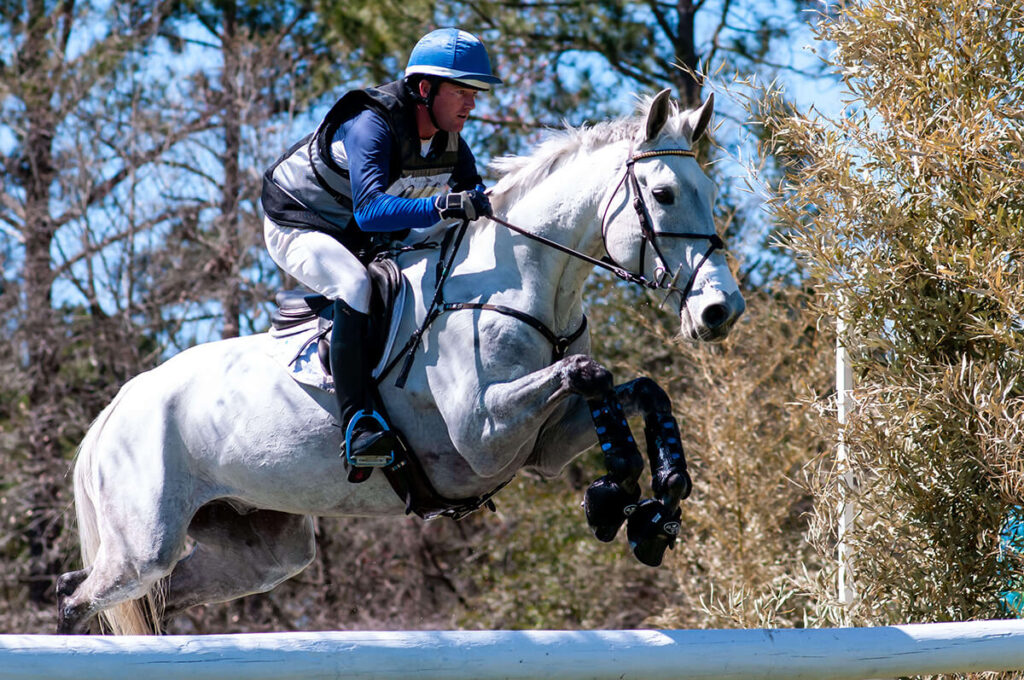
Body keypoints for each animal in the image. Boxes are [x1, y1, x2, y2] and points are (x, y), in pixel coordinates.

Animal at [56, 89, 745, 630]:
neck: (522, 282)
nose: (721, 310)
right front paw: (616, 493)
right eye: (662, 193)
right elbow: (592, 374)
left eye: (710, 191)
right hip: (143, 544)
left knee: (145, 599)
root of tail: (114, 411)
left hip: (262, 547)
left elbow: (639, 388)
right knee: (83, 599)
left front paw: (658, 502)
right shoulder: (485, 435)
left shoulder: (543, 442)